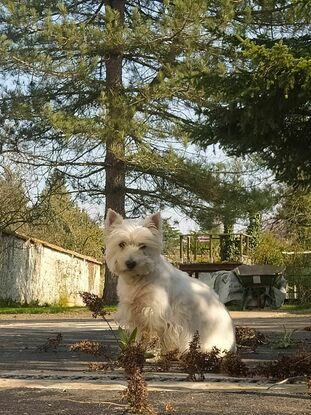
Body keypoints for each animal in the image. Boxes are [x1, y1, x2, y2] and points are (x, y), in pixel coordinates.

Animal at [105, 210, 236, 356]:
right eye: (121, 244)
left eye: (143, 246)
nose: (130, 263)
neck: (138, 279)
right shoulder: (135, 312)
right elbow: (140, 334)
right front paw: (138, 349)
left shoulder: (156, 313)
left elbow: (157, 335)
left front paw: (155, 352)